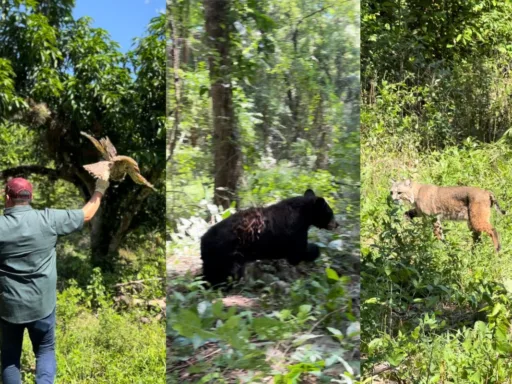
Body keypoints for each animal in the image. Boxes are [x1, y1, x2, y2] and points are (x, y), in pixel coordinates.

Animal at [200, 190, 340, 286]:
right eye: (330, 213)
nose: (337, 224)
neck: (303, 214)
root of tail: (203, 240)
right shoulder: (295, 232)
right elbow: (297, 253)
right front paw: (315, 250)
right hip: (227, 255)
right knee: (227, 272)